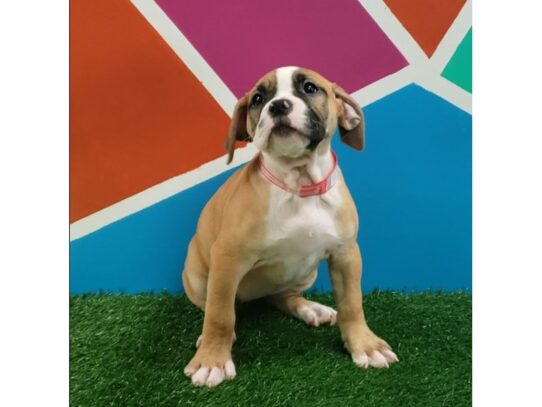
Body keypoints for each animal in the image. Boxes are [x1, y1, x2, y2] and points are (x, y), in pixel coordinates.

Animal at [183, 65, 400, 388]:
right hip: (198, 275)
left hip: (304, 274)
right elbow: (220, 315)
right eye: (258, 99)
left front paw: (365, 345)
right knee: (215, 306)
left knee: (283, 296)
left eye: (310, 88)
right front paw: (212, 360)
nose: (278, 106)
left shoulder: (346, 255)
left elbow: (352, 303)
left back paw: (310, 308)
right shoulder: (227, 259)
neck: (299, 184)